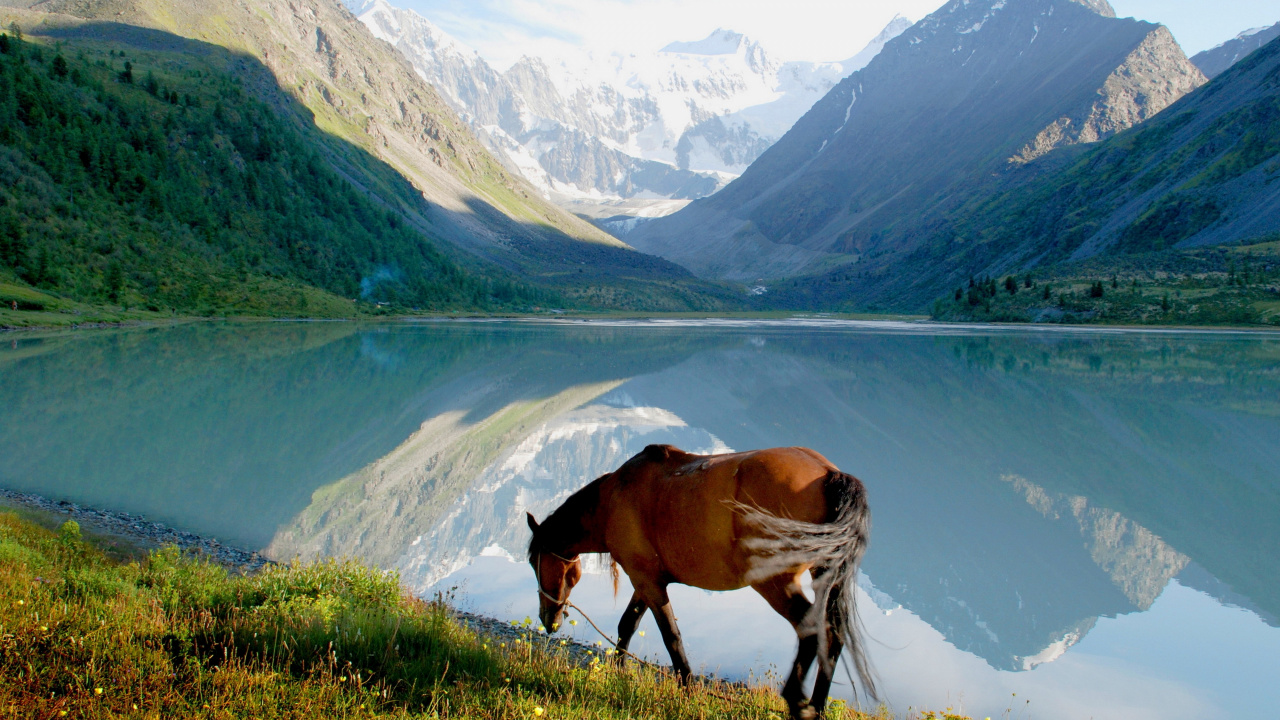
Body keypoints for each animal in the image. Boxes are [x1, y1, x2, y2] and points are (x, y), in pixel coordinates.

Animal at [526, 444, 876, 719]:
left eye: (532, 561)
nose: (549, 620)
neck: (613, 498)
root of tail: (828, 473)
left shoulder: (647, 581)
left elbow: (670, 636)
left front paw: (687, 689)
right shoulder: (646, 580)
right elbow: (628, 624)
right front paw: (619, 671)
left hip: (775, 583)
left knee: (812, 629)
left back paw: (795, 701)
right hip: (822, 575)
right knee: (832, 634)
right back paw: (816, 707)